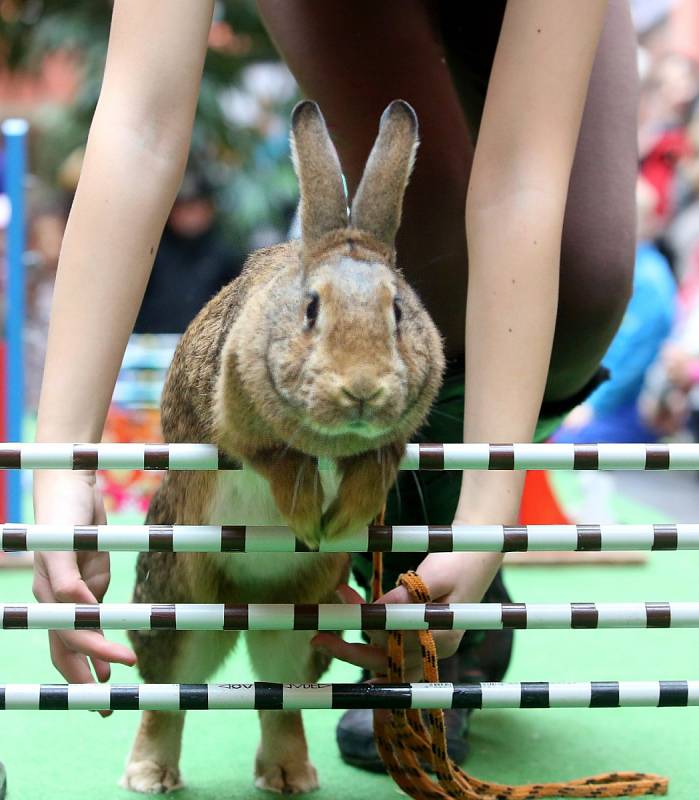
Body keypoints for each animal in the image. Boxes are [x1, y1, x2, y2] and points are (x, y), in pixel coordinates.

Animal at [121, 100, 446, 792]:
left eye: (397, 312)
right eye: (311, 309)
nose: (362, 388)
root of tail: (246, 605)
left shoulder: (388, 444)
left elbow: (373, 466)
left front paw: (344, 517)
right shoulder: (241, 421)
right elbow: (278, 460)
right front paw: (309, 517)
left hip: (303, 627)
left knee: (280, 699)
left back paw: (291, 775)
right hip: (177, 608)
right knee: (168, 696)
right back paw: (150, 776)